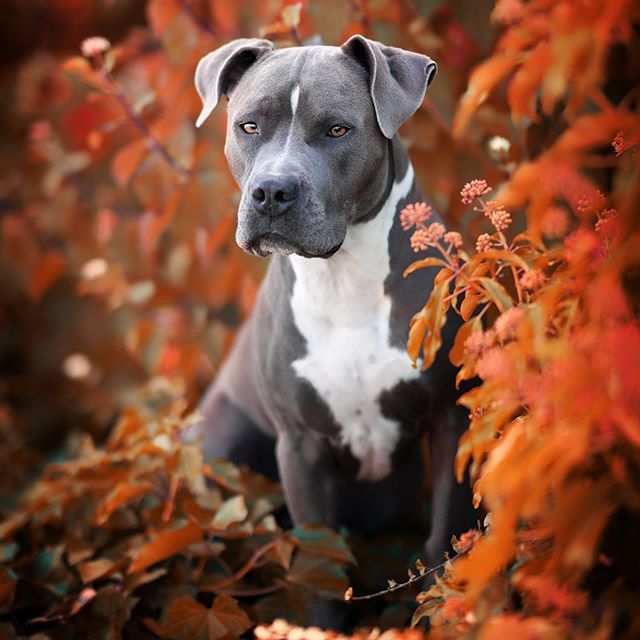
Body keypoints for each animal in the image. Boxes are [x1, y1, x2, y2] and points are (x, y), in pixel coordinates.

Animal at [192, 33, 472, 624]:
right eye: (248, 126)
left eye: (338, 129)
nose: (271, 192)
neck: (342, 276)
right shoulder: (301, 446)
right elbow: (319, 566)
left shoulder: (449, 420)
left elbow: (445, 539)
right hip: (218, 449)